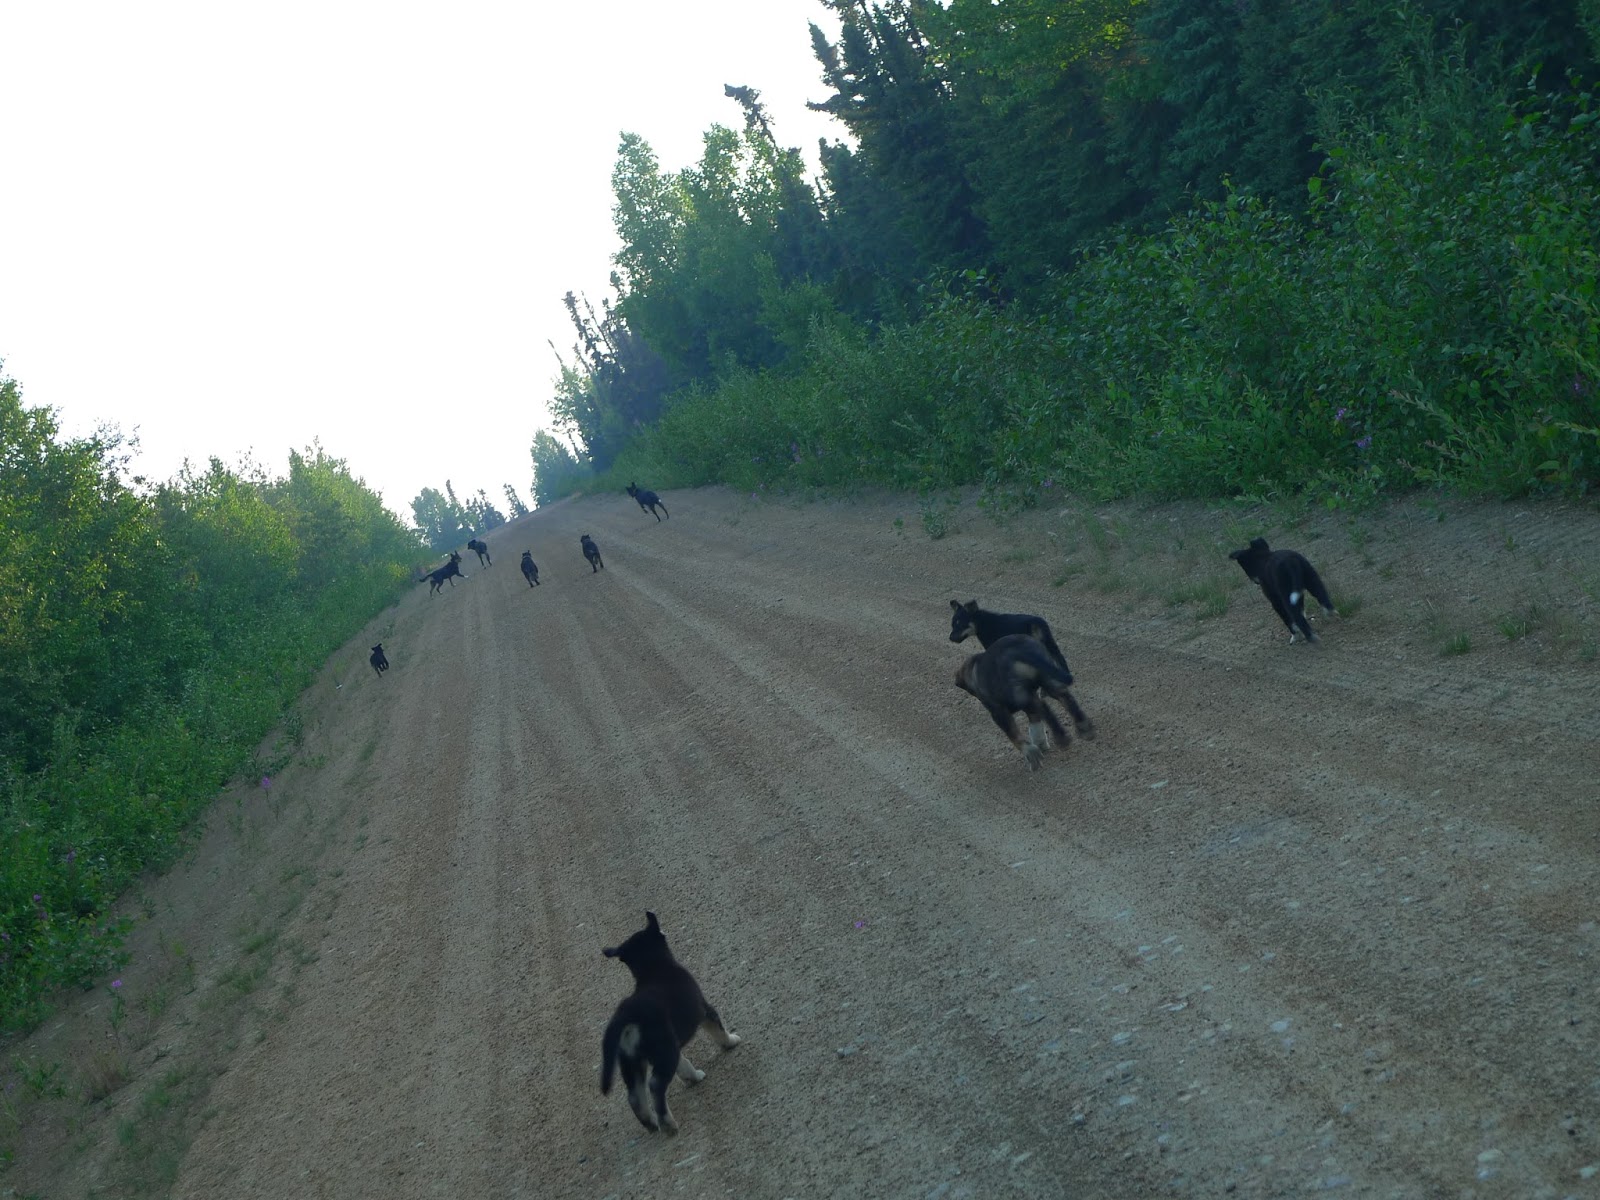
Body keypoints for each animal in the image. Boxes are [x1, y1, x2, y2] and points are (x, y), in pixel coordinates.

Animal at [601, 908, 742, 1139]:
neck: (654, 967)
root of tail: (626, 1016)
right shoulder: (705, 1011)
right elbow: (719, 1031)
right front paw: (731, 1041)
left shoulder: (673, 1044)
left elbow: (683, 1065)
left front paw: (692, 1077)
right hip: (662, 1051)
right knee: (655, 1086)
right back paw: (668, 1124)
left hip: (632, 1061)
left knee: (635, 1095)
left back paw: (651, 1122)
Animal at [953, 640, 1094, 771]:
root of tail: (1018, 650)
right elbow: (1035, 724)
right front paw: (1039, 744)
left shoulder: (998, 712)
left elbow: (1013, 734)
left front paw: (1030, 752)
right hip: (1048, 678)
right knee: (1065, 698)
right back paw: (1083, 726)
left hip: (1019, 693)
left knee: (1043, 706)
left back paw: (1062, 737)